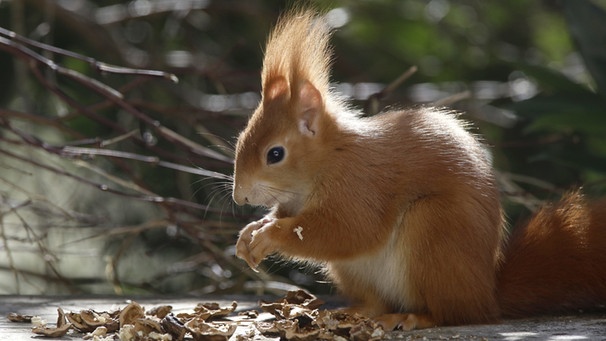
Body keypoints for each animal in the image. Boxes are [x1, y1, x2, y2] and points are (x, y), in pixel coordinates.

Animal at [230, 9, 606, 330]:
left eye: (275, 154)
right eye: (240, 139)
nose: (239, 197)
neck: (327, 160)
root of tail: (487, 294)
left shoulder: (360, 185)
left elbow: (348, 230)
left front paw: (269, 235)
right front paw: (250, 233)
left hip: (434, 231)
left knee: (453, 313)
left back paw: (415, 317)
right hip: (355, 270)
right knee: (378, 302)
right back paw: (355, 311)